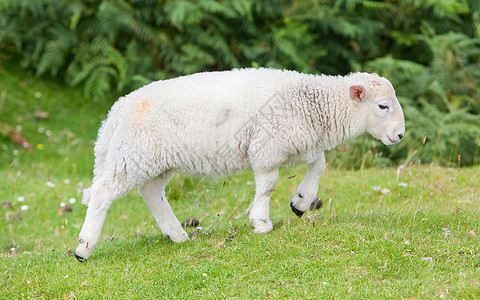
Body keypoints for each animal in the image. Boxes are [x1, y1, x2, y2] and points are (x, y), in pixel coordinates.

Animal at [75, 67, 404, 260]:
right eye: (383, 106)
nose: (400, 135)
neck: (315, 106)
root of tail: (116, 112)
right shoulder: (267, 147)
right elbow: (268, 184)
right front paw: (261, 222)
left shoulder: (297, 139)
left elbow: (319, 164)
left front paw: (300, 201)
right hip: (132, 155)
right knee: (103, 193)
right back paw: (84, 247)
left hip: (154, 159)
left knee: (152, 192)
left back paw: (177, 235)